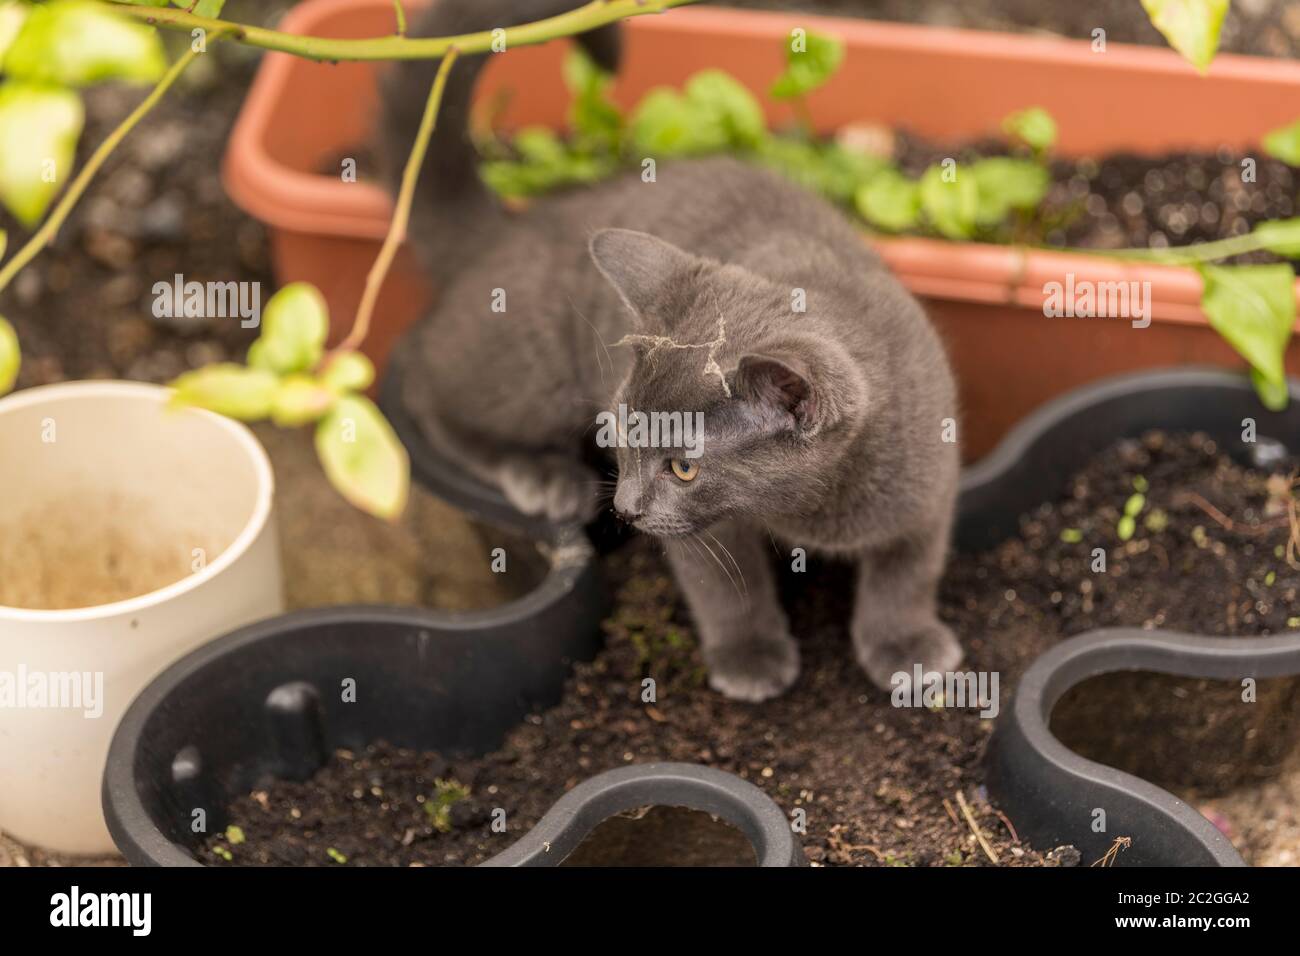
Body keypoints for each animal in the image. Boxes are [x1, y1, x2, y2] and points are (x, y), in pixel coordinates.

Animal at [379, 0, 961, 702]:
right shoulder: (702, 529)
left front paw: (908, 648)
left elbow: (909, 569)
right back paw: (542, 474)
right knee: (426, 386)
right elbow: (726, 587)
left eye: (684, 466)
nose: (624, 508)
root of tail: (509, 230)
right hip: (530, 362)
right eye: (619, 432)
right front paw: (750, 656)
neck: (812, 507)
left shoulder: (929, 480)